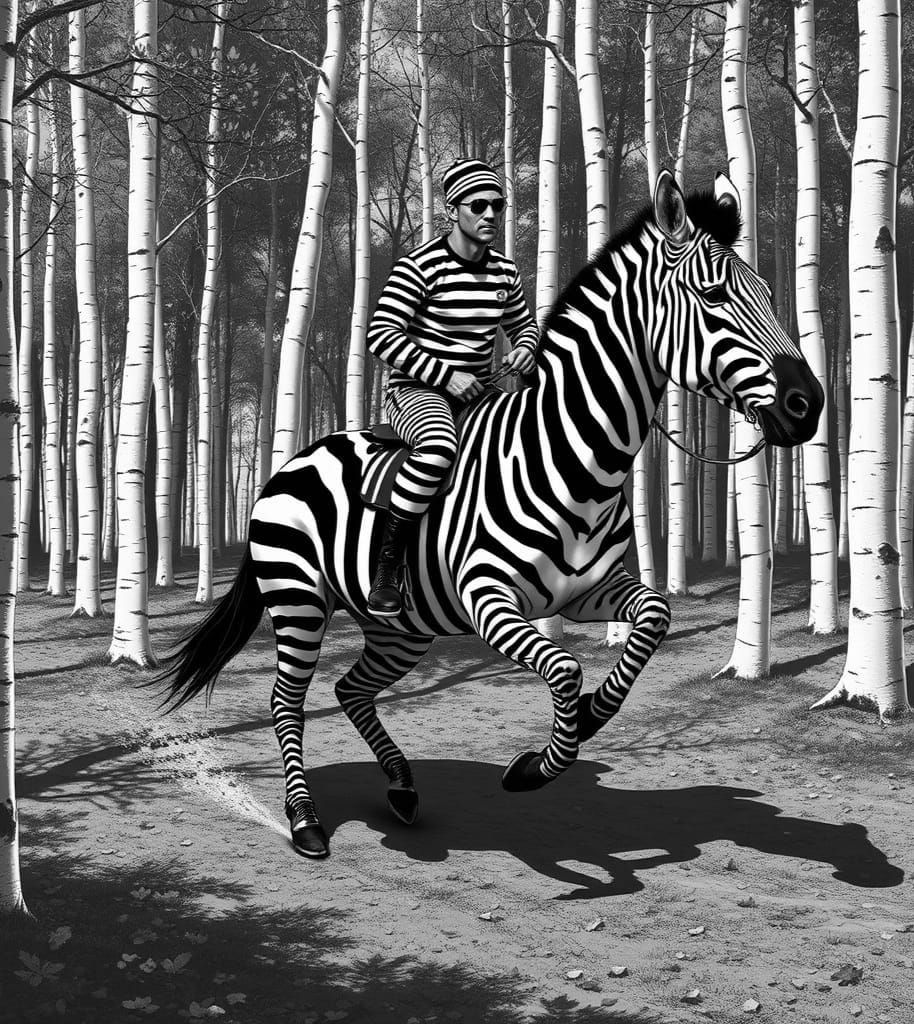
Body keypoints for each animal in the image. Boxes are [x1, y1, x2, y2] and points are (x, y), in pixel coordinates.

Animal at [159, 171, 823, 858]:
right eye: (714, 296)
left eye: (769, 292)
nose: (809, 405)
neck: (572, 458)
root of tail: (294, 460)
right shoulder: (487, 597)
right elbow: (563, 668)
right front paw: (535, 768)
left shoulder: (588, 592)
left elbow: (654, 620)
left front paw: (590, 717)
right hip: (298, 599)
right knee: (287, 700)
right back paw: (305, 823)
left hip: (403, 628)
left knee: (350, 689)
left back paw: (402, 790)